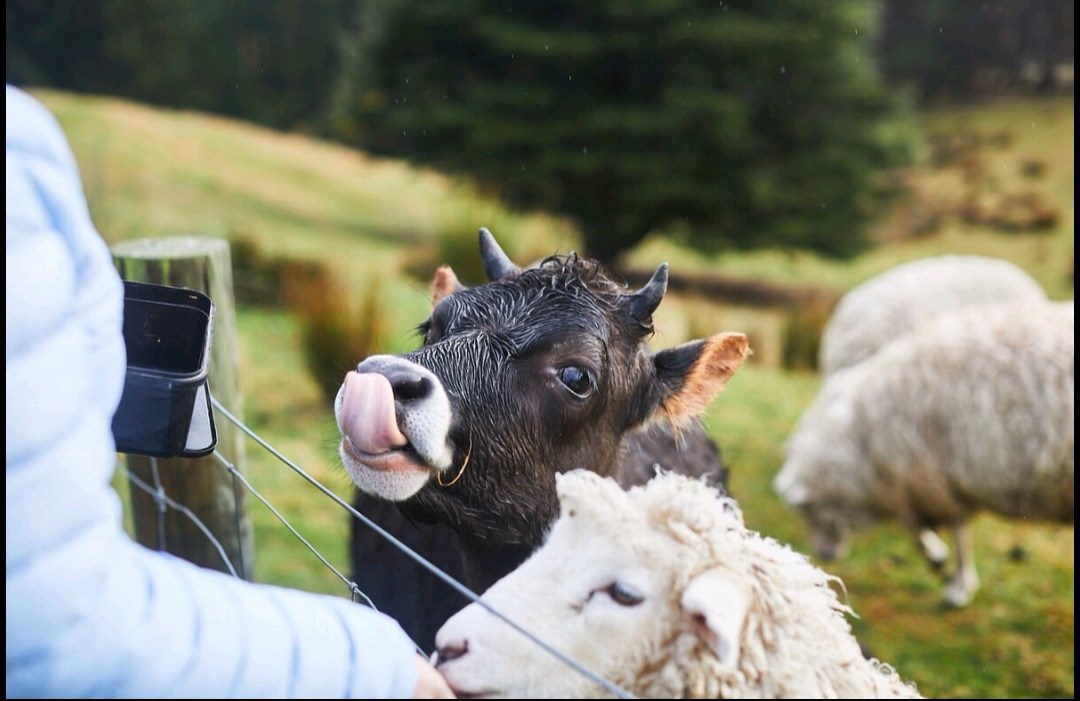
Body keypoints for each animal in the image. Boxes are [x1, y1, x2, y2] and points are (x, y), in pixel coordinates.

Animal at [775, 299, 1073, 607]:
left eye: (808, 511)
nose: (825, 555)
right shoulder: (929, 480)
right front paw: (943, 563)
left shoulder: (929, 474)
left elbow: (951, 532)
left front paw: (956, 582)